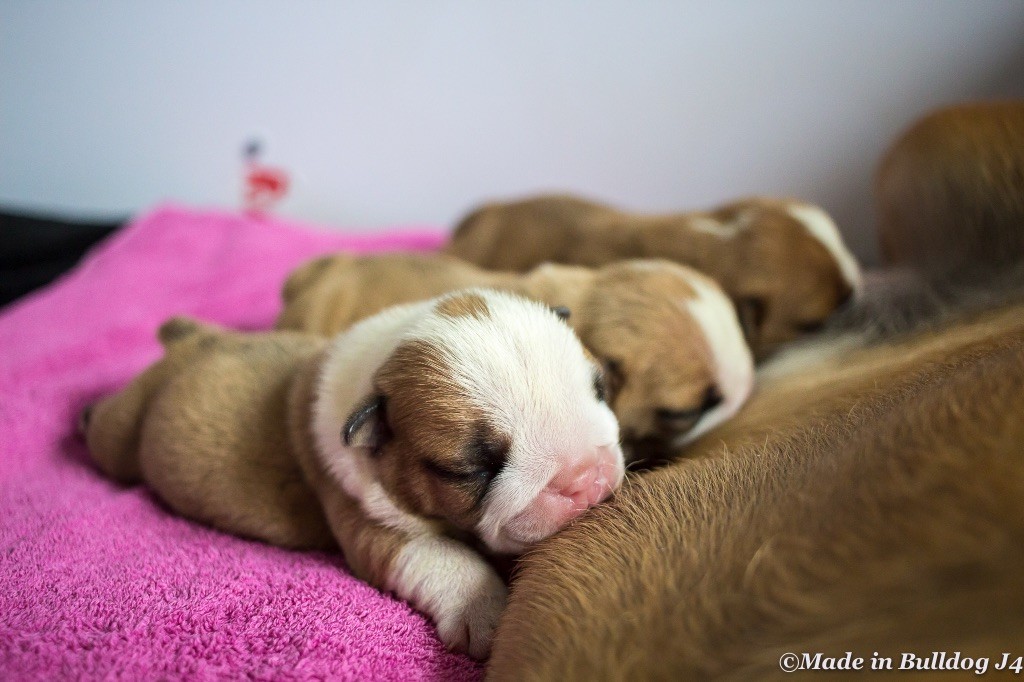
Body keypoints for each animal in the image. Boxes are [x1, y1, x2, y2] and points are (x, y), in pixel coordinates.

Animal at [81, 288, 622, 659]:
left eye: (600, 390)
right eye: (474, 468)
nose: (585, 475)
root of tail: (190, 341)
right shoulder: (373, 522)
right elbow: (447, 560)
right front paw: (487, 613)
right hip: (123, 435)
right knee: (107, 432)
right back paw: (85, 416)